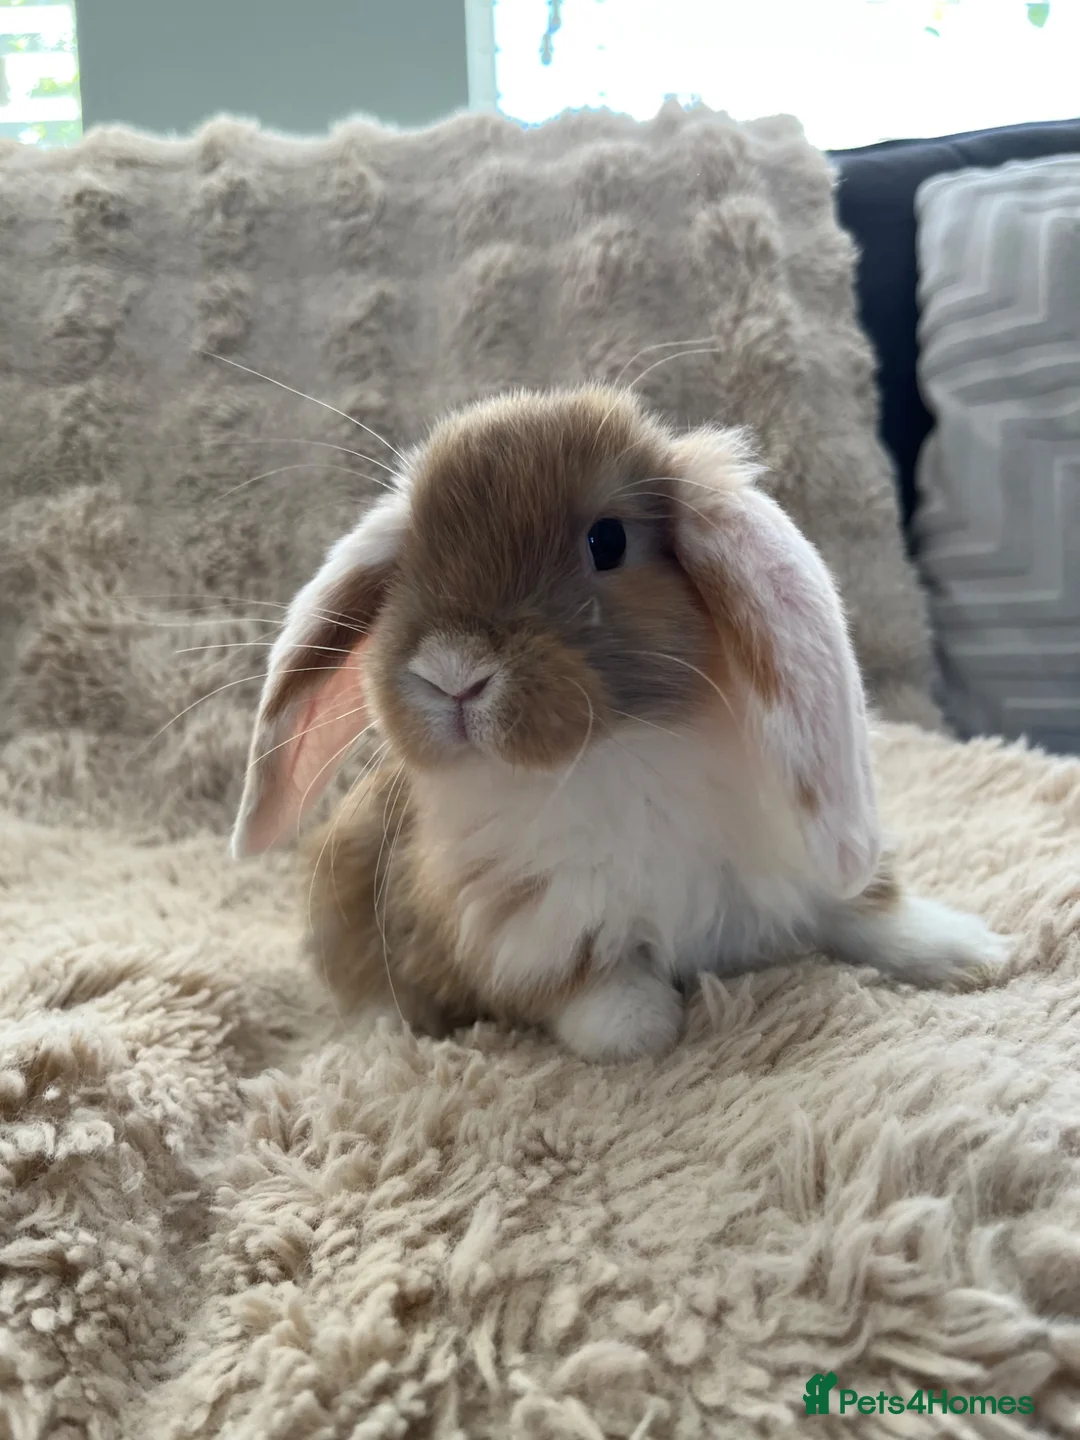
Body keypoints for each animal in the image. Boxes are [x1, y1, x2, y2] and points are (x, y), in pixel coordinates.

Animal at [230, 385, 1011, 1062]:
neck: (618, 752)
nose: (452, 672)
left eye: (607, 541)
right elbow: (594, 999)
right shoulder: (518, 925)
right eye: (411, 559)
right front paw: (644, 1023)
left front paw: (976, 954)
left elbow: (867, 910)